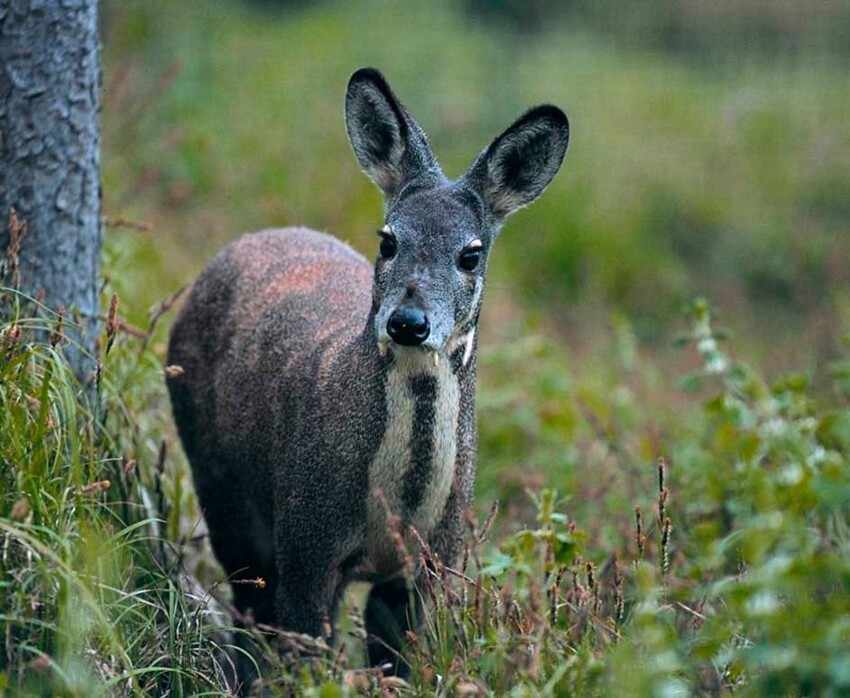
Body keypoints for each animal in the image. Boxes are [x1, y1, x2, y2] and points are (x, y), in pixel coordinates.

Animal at [165, 66, 568, 680]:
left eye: (471, 254)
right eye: (388, 239)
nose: (408, 322)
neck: (397, 507)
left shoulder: (430, 562)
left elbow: (397, 664)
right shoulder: (307, 536)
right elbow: (305, 652)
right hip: (219, 483)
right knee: (249, 607)